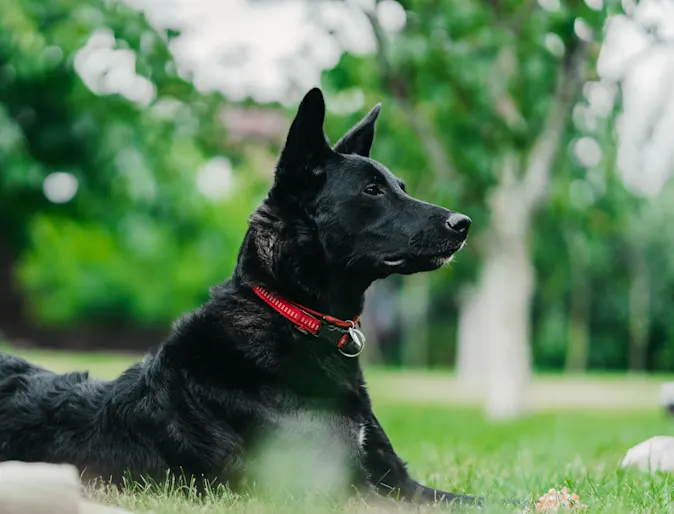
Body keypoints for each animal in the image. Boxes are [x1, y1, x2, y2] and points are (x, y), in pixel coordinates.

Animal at [0, 88, 478, 504]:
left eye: (399, 186)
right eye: (372, 190)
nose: (464, 223)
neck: (294, 317)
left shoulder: (399, 482)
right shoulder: (328, 492)